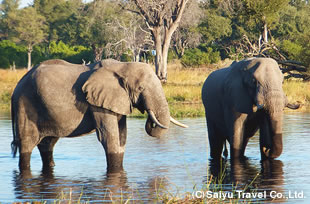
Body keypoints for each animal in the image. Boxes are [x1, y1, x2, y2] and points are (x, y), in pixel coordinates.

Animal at [11, 58, 186, 172]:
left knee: (47, 144)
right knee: (27, 144)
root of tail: (18, 85)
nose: (150, 120)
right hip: (25, 105)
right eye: (140, 88)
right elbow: (108, 136)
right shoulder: (97, 104)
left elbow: (122, 136)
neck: (122, 66)